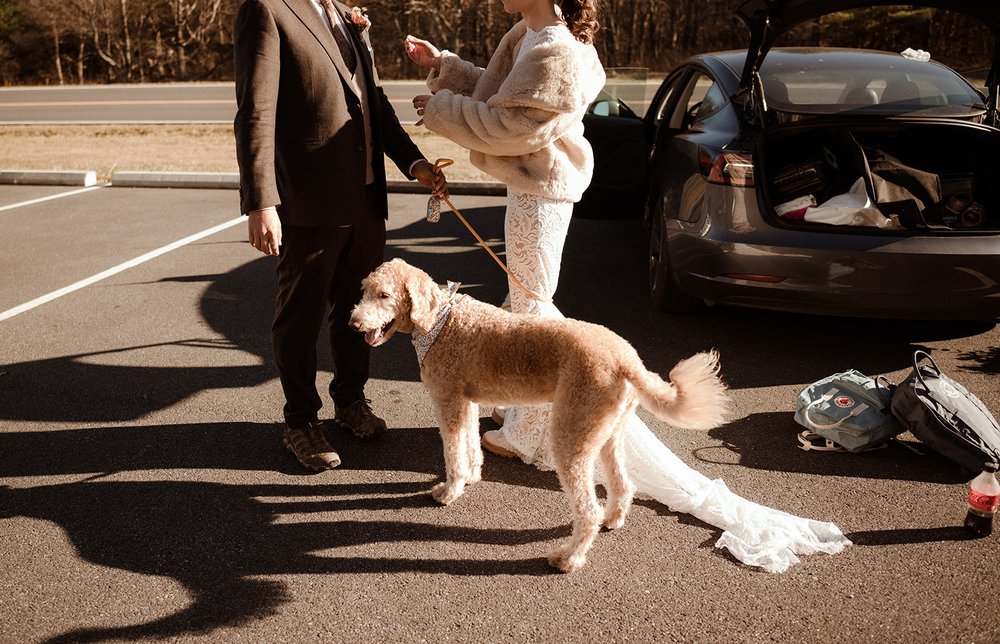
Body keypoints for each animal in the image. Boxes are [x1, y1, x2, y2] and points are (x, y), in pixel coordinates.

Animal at [352, 260, 728, 572]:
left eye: (384, 295)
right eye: (365, 289)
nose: (354, 322)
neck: (440, 321)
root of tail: (627, 360)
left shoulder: (448, 401)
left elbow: (453, 452)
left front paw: (450, 491)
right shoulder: (465, 401)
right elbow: (470, 443)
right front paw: (472, 477)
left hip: (572, 434)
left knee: (587, 510)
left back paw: (569, 559)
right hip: (607, 431)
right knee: (623, 484)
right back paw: (613, 520)